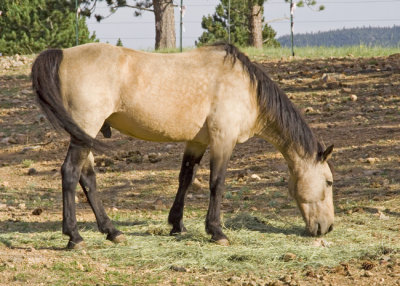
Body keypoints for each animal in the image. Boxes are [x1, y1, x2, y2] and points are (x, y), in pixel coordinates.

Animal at [31, 42, 334, 248]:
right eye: (329, 182)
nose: (328, 228)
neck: (246, 87)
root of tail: (63, 53)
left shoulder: (197, 142)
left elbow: (185, 179)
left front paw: (177, 225)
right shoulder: (223, 139)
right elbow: (217, 183)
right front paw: (216, 231)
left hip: (85, 134)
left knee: (87, 177)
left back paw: (112, 231)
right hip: (85, 129)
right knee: (71, 173)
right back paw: (75, 236)